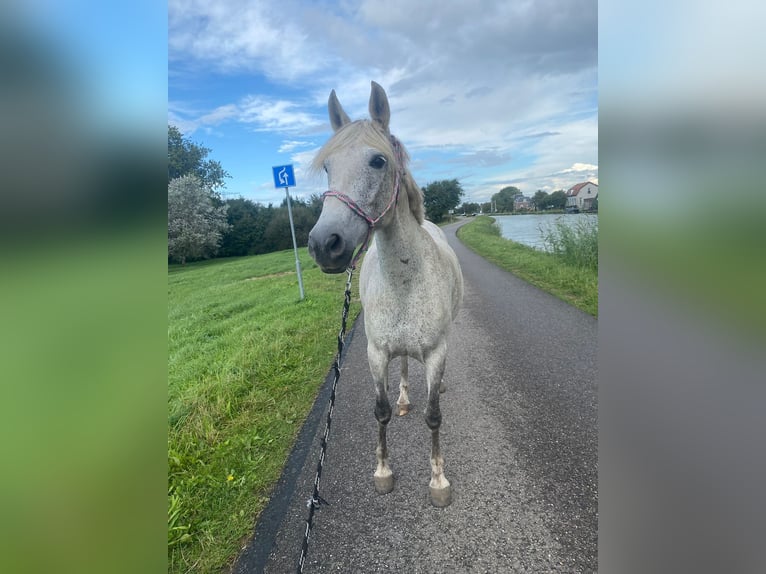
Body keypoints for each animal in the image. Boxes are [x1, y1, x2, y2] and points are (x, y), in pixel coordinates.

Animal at [308, 82, 464, 508]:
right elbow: (380, 412)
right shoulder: (376, 353)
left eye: (378, 161)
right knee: (405, 368)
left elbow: (434, 416)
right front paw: (383, 472)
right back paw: (406, 399)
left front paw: (438, 481)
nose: (324, 244)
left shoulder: (437, 353)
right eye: (327, 167)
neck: (404, 282)